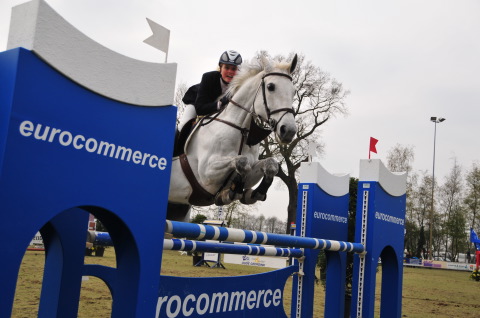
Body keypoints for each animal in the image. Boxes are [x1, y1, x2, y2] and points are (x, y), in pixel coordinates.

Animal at [168, 54, 296, 221]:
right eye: (271, 87)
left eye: (294, 92)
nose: (289, 131)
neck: (240, 128)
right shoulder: (206, 174)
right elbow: (242, 162)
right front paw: (230, 193)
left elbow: (271, 165)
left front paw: (255, 193)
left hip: (178, 207)